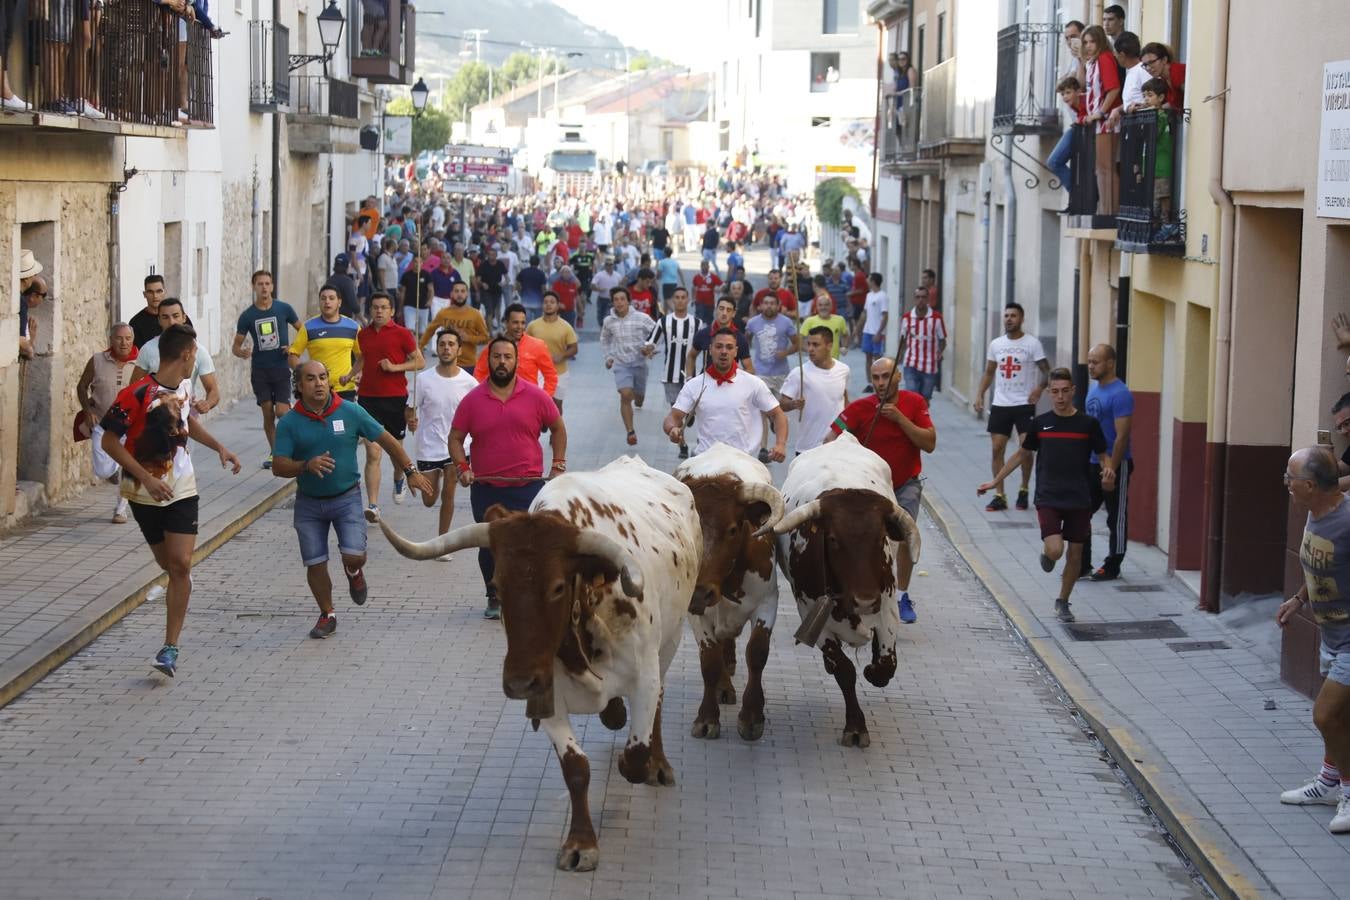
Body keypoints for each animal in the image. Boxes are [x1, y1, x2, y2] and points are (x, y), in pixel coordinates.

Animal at [369, 458, 707, 874]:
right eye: (497, 585)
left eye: (559, 587)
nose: (517, 683)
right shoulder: (546, 693)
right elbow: (576, 769)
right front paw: (581, 843)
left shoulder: (643, 675)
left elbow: (634, 755)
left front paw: (640, 760)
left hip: (671, 640)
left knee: (658, 703)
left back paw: (658, 764)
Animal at [672, 439, 783, 744]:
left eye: (733, 529)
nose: (701, 593)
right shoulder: (696, 613)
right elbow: (709, 661)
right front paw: (707, 719)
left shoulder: (768, 602)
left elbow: (757, 653)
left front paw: (752, 717)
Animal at [766, 431, 923, 750]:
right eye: (833, 540)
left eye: (880, 539)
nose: (864, 600)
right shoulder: (813, 616)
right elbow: (844, 670)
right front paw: (856, 727)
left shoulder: (887, 609)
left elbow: (885, 665)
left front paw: (873, 671)